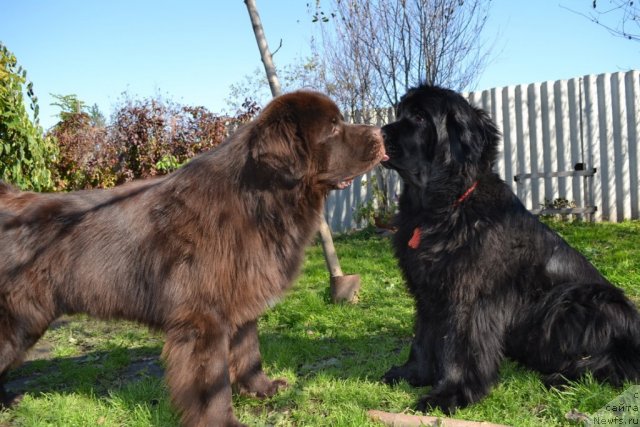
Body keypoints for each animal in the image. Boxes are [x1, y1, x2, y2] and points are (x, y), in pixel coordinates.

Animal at [0, 92, 384, 426]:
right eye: (332, 128)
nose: (381, 134)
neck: (259, 200)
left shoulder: (241, 301)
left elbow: (249, 352)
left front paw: (261, 389)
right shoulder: (203, 318)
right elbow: (212, 383)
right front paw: (223, 422)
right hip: (18, 321)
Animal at [382, 83, 636, 414]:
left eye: (420, 117)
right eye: (400, 113)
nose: (378, 133)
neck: (445, 208)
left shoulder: (470, 296)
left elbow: (459, 348)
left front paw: (450, 394)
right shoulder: (427, 290)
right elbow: (423, 337)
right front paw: (413, 374)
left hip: (582, 298)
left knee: (618, 364)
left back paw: (564, 377)